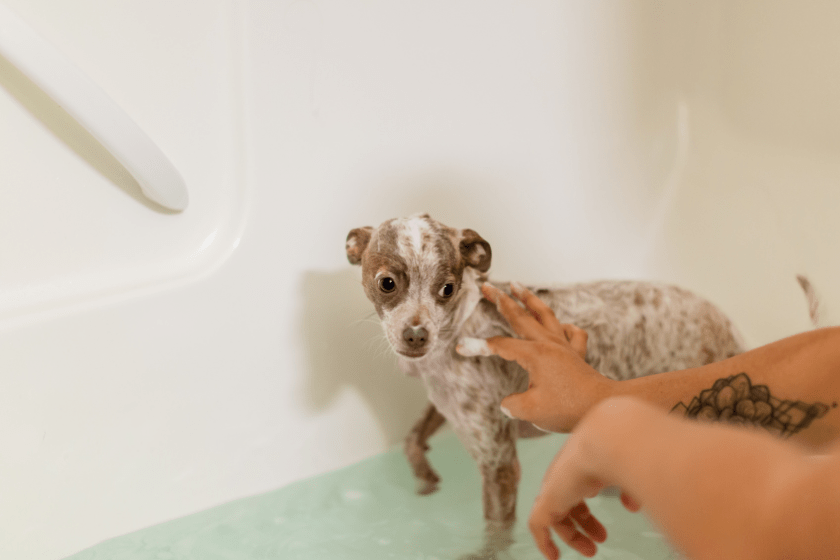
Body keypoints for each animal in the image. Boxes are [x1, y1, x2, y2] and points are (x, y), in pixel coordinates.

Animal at [344, 214, 744, 552]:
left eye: (447, 288)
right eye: (387, 283)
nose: (416, 336)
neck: (455, 334)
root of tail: (728, 326)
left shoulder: (499, 463)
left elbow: (496, 533)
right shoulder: (449, 406)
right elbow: (413, 437)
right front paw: (425, 477)